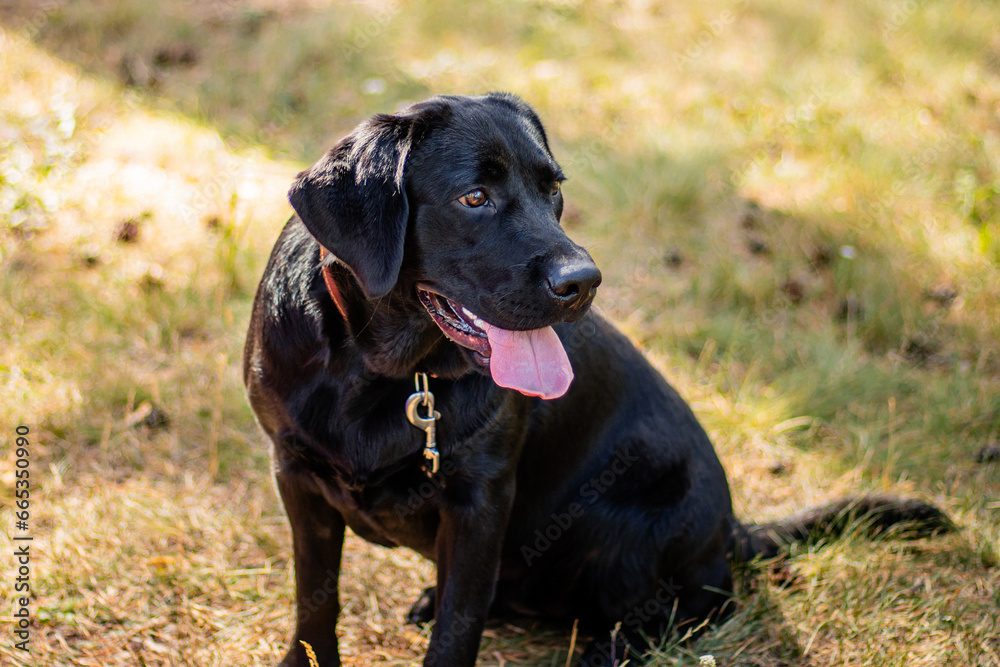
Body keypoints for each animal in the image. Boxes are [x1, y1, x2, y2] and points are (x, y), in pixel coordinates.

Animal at [244, 91, 952, 664]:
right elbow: (316, 597)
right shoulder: (296, 476)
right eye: (475, 197)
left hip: (635, 536)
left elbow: (459, 625)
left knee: (693, 610)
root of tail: (731, 531)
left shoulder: (481, 499)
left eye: (553, 189)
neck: (387, 371)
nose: (583, 282)